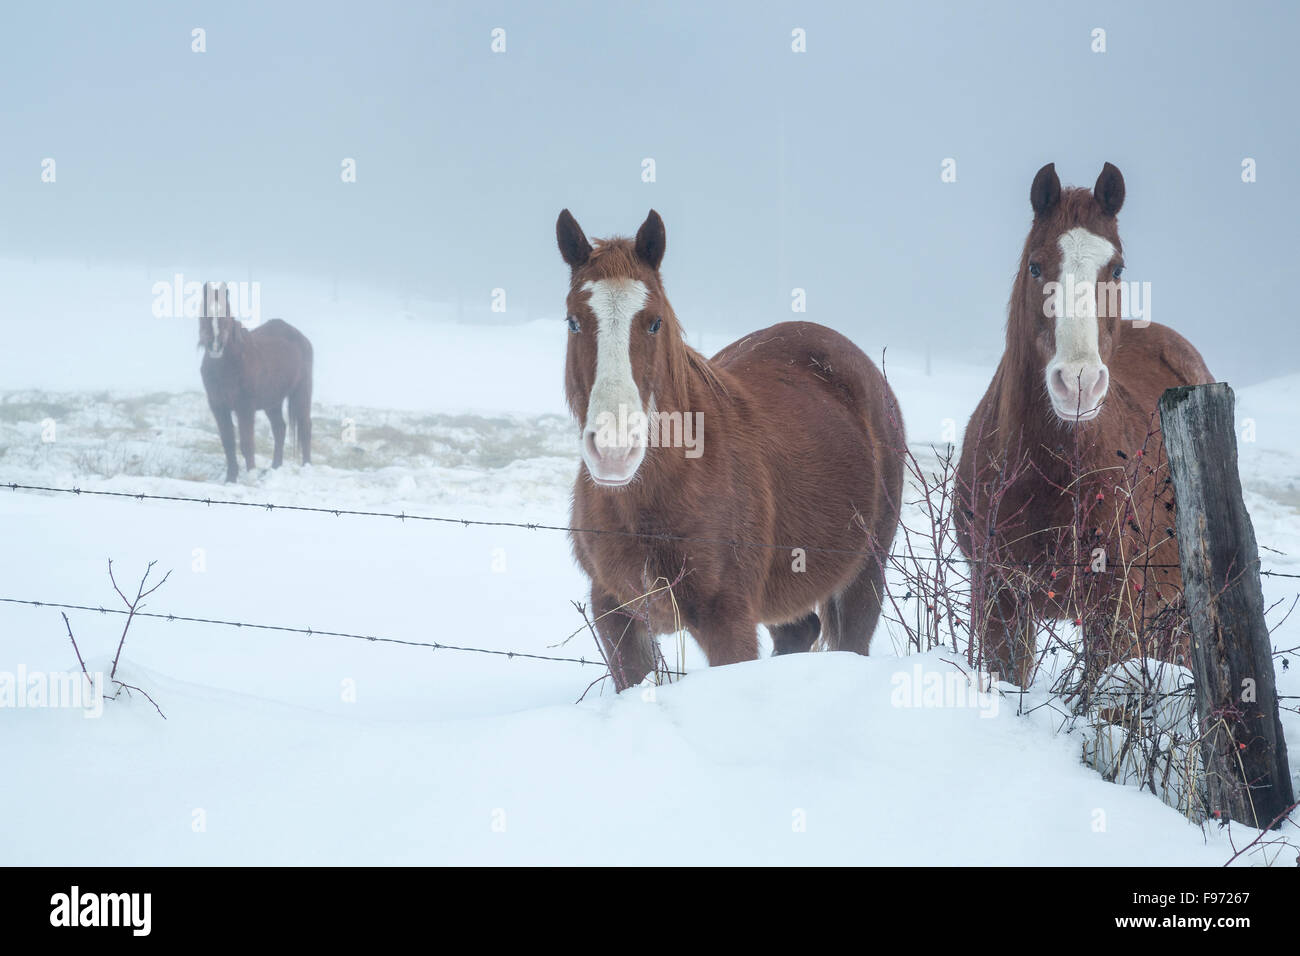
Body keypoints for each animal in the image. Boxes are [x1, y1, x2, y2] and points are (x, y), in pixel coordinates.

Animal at [199, 309, 314, 483]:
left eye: (226, 320)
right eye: (204, 319)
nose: (215, 347)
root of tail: (301, 338)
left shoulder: (245, 408)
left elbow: (247, 443)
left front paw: (250, 476)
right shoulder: (219, 407)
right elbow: (228, 442)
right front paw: (230, 478)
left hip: (301, 393)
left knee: (305, 427)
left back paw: (306, 467)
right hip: (273, 403)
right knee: (280, 429)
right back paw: (275, 467)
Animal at [556, 209, 905, 691]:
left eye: (654, 322)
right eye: (573, 321)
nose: (613, 450)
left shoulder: (728, 620)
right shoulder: (613, 612)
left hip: (864, 575)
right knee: (800, 631)